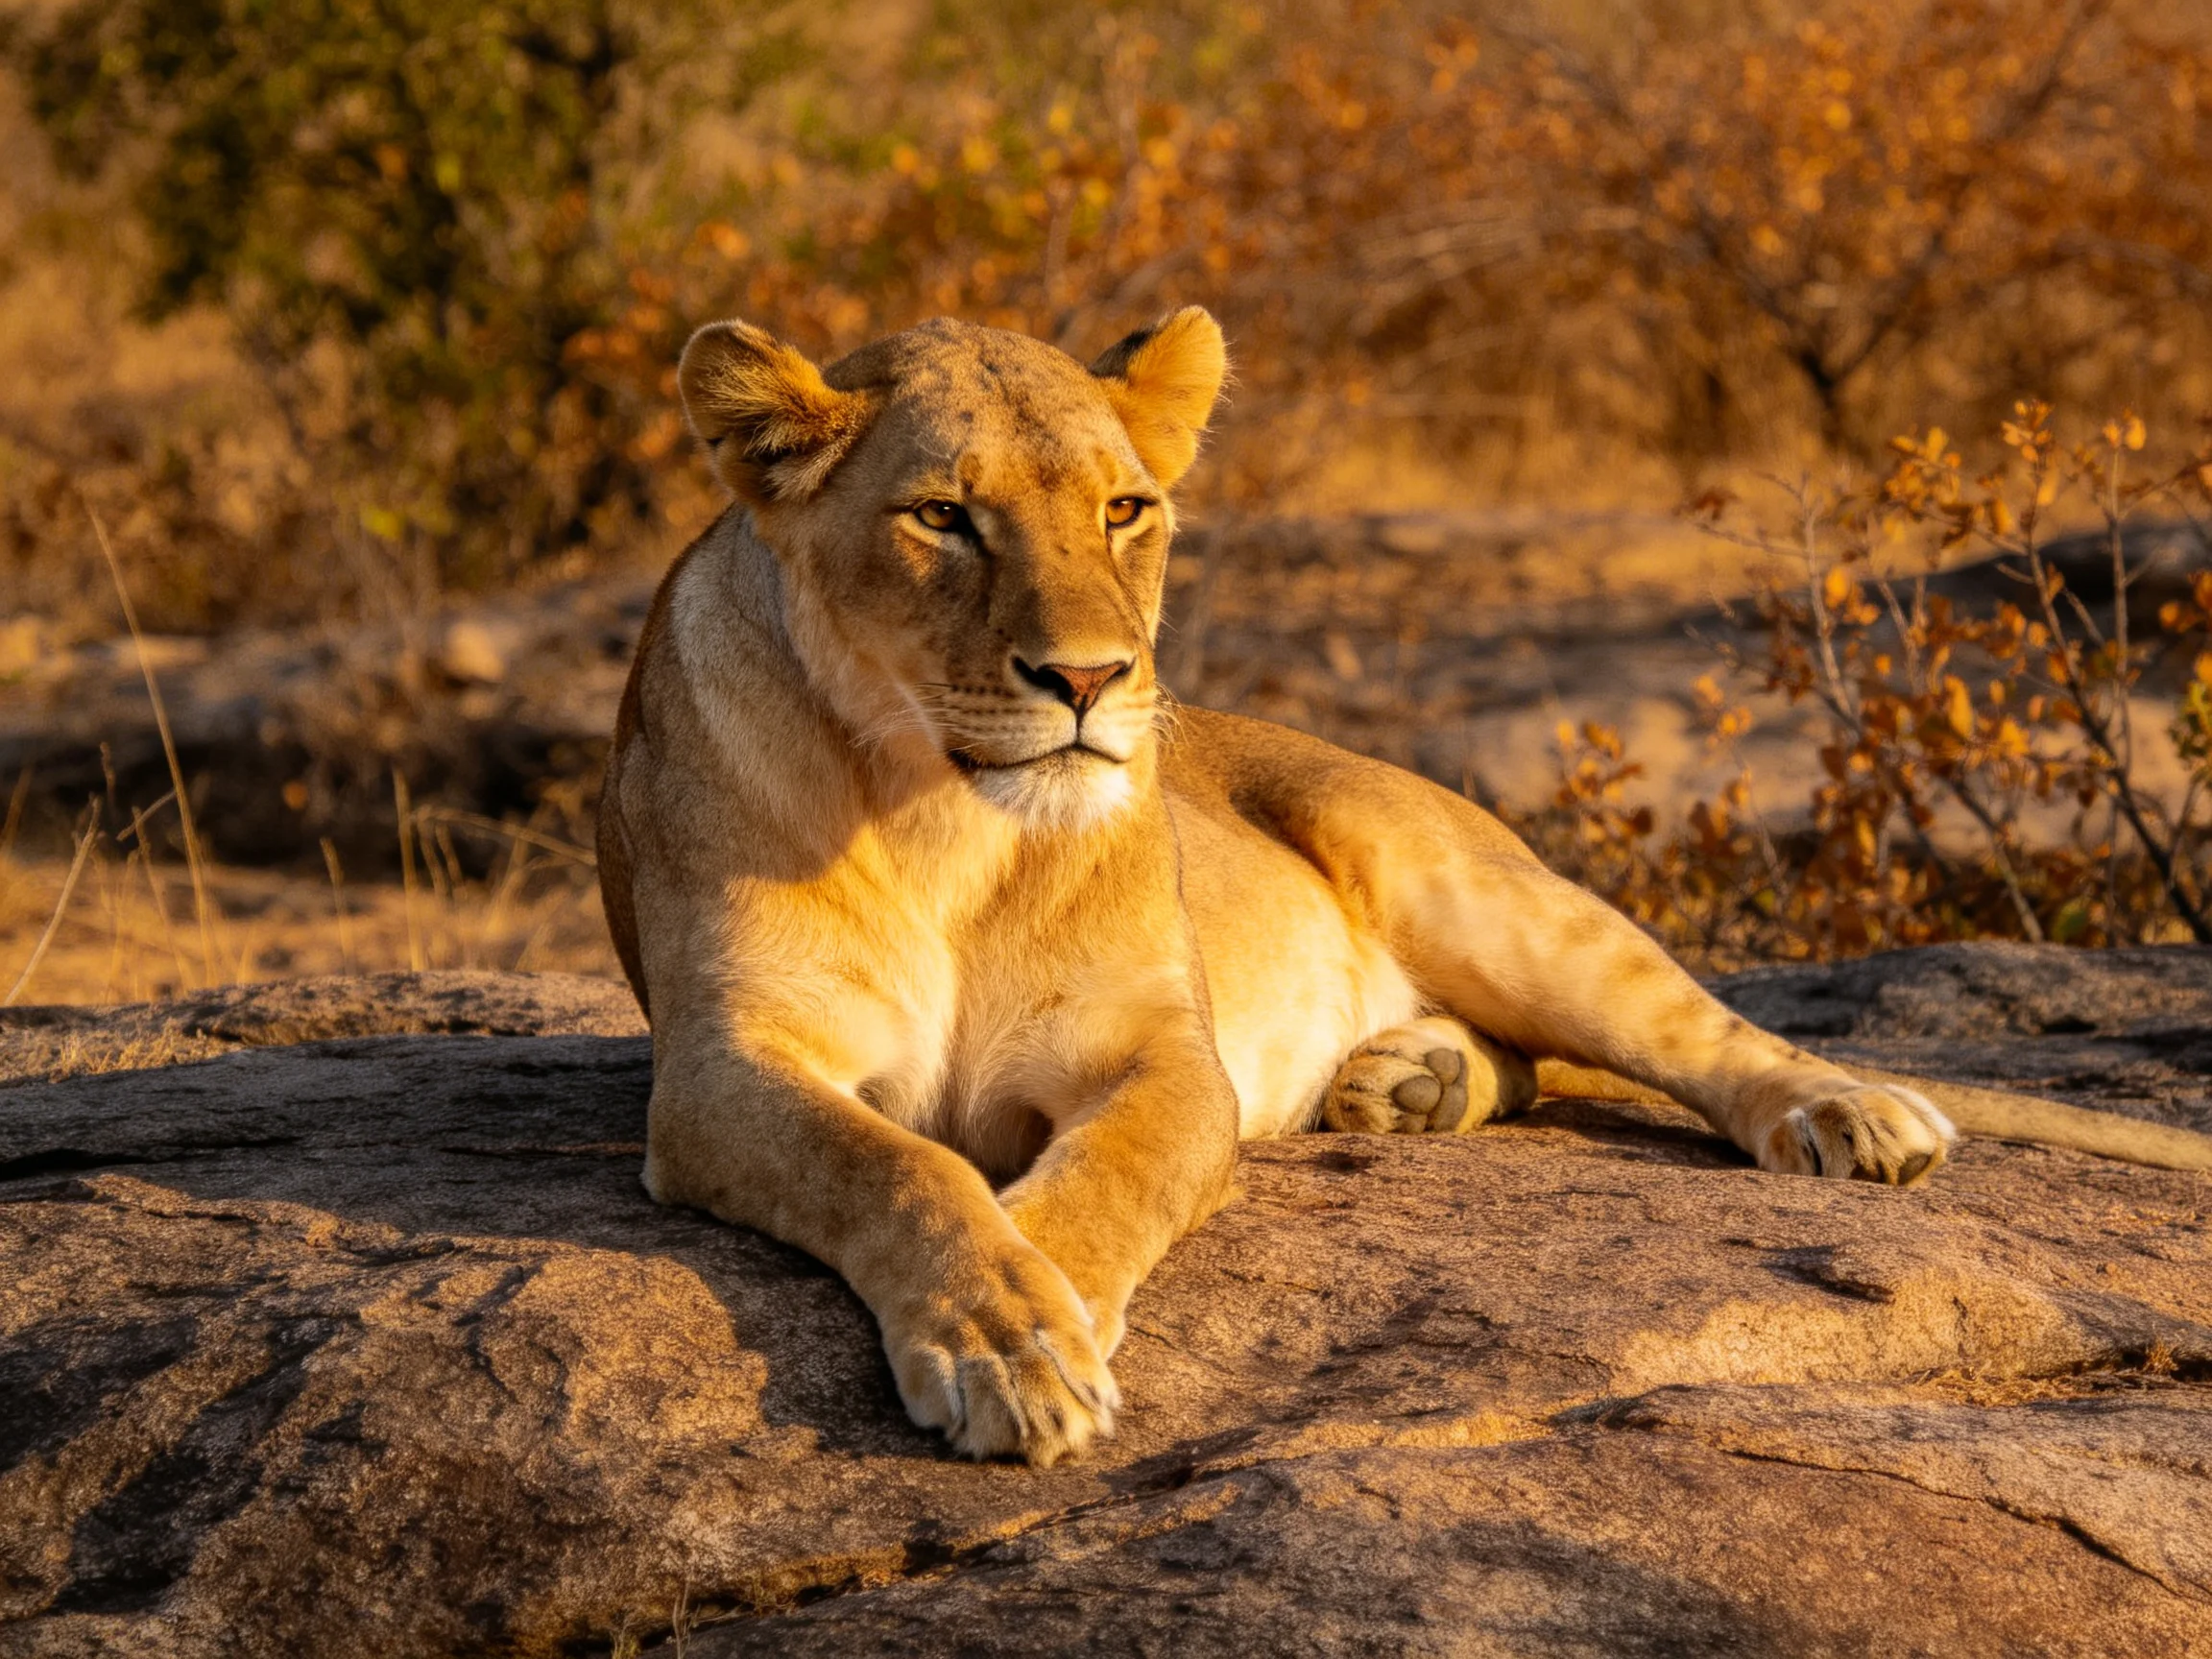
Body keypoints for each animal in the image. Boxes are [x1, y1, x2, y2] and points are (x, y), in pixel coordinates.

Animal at [598, 307, 2212, 1467]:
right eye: (942, 516)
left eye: (1125, 509)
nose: (1091, 682)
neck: (946, 816)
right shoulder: (726, 1068)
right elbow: (901, 1164)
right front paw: (1011, 1327)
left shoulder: (1165, 1059)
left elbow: (1100, 1181)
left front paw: (1036, 1326)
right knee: (1537, 1067)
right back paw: (1409, 1087)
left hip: (1466, 881)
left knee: (1694, 1035)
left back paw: (1849, 1114)